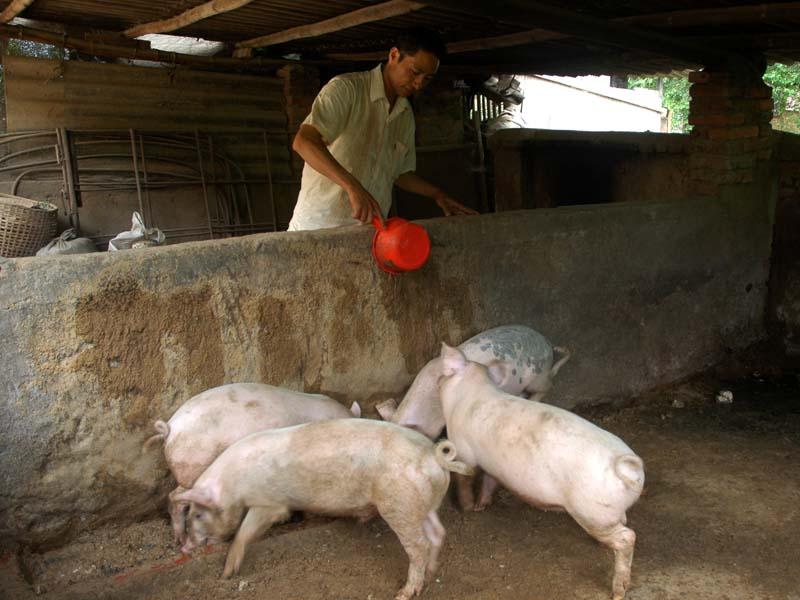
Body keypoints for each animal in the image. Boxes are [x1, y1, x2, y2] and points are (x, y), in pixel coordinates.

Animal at [176, 418, 472, 600]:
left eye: (198, 514)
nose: (185, 547)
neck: (233, 485)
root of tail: (434, 456)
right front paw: (226, 574)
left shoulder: (269, 502)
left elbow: (246, 531)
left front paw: (227, 573)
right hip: (421, 504)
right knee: (437, 533)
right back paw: (431, 572)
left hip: (400, 505)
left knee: (419, 544)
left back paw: (404, 593)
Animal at [438, 342, 644, 600]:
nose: (438, 378)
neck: (471, 392)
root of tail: (626, 466)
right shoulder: (494, 466)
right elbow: (490, 480)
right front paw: (481, 506)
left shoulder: (464, 450)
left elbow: (465, 477)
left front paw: (467, 509)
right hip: (606, 512)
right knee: (623, 524)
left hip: (591, 511)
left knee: (628, 536)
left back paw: (617, 592)